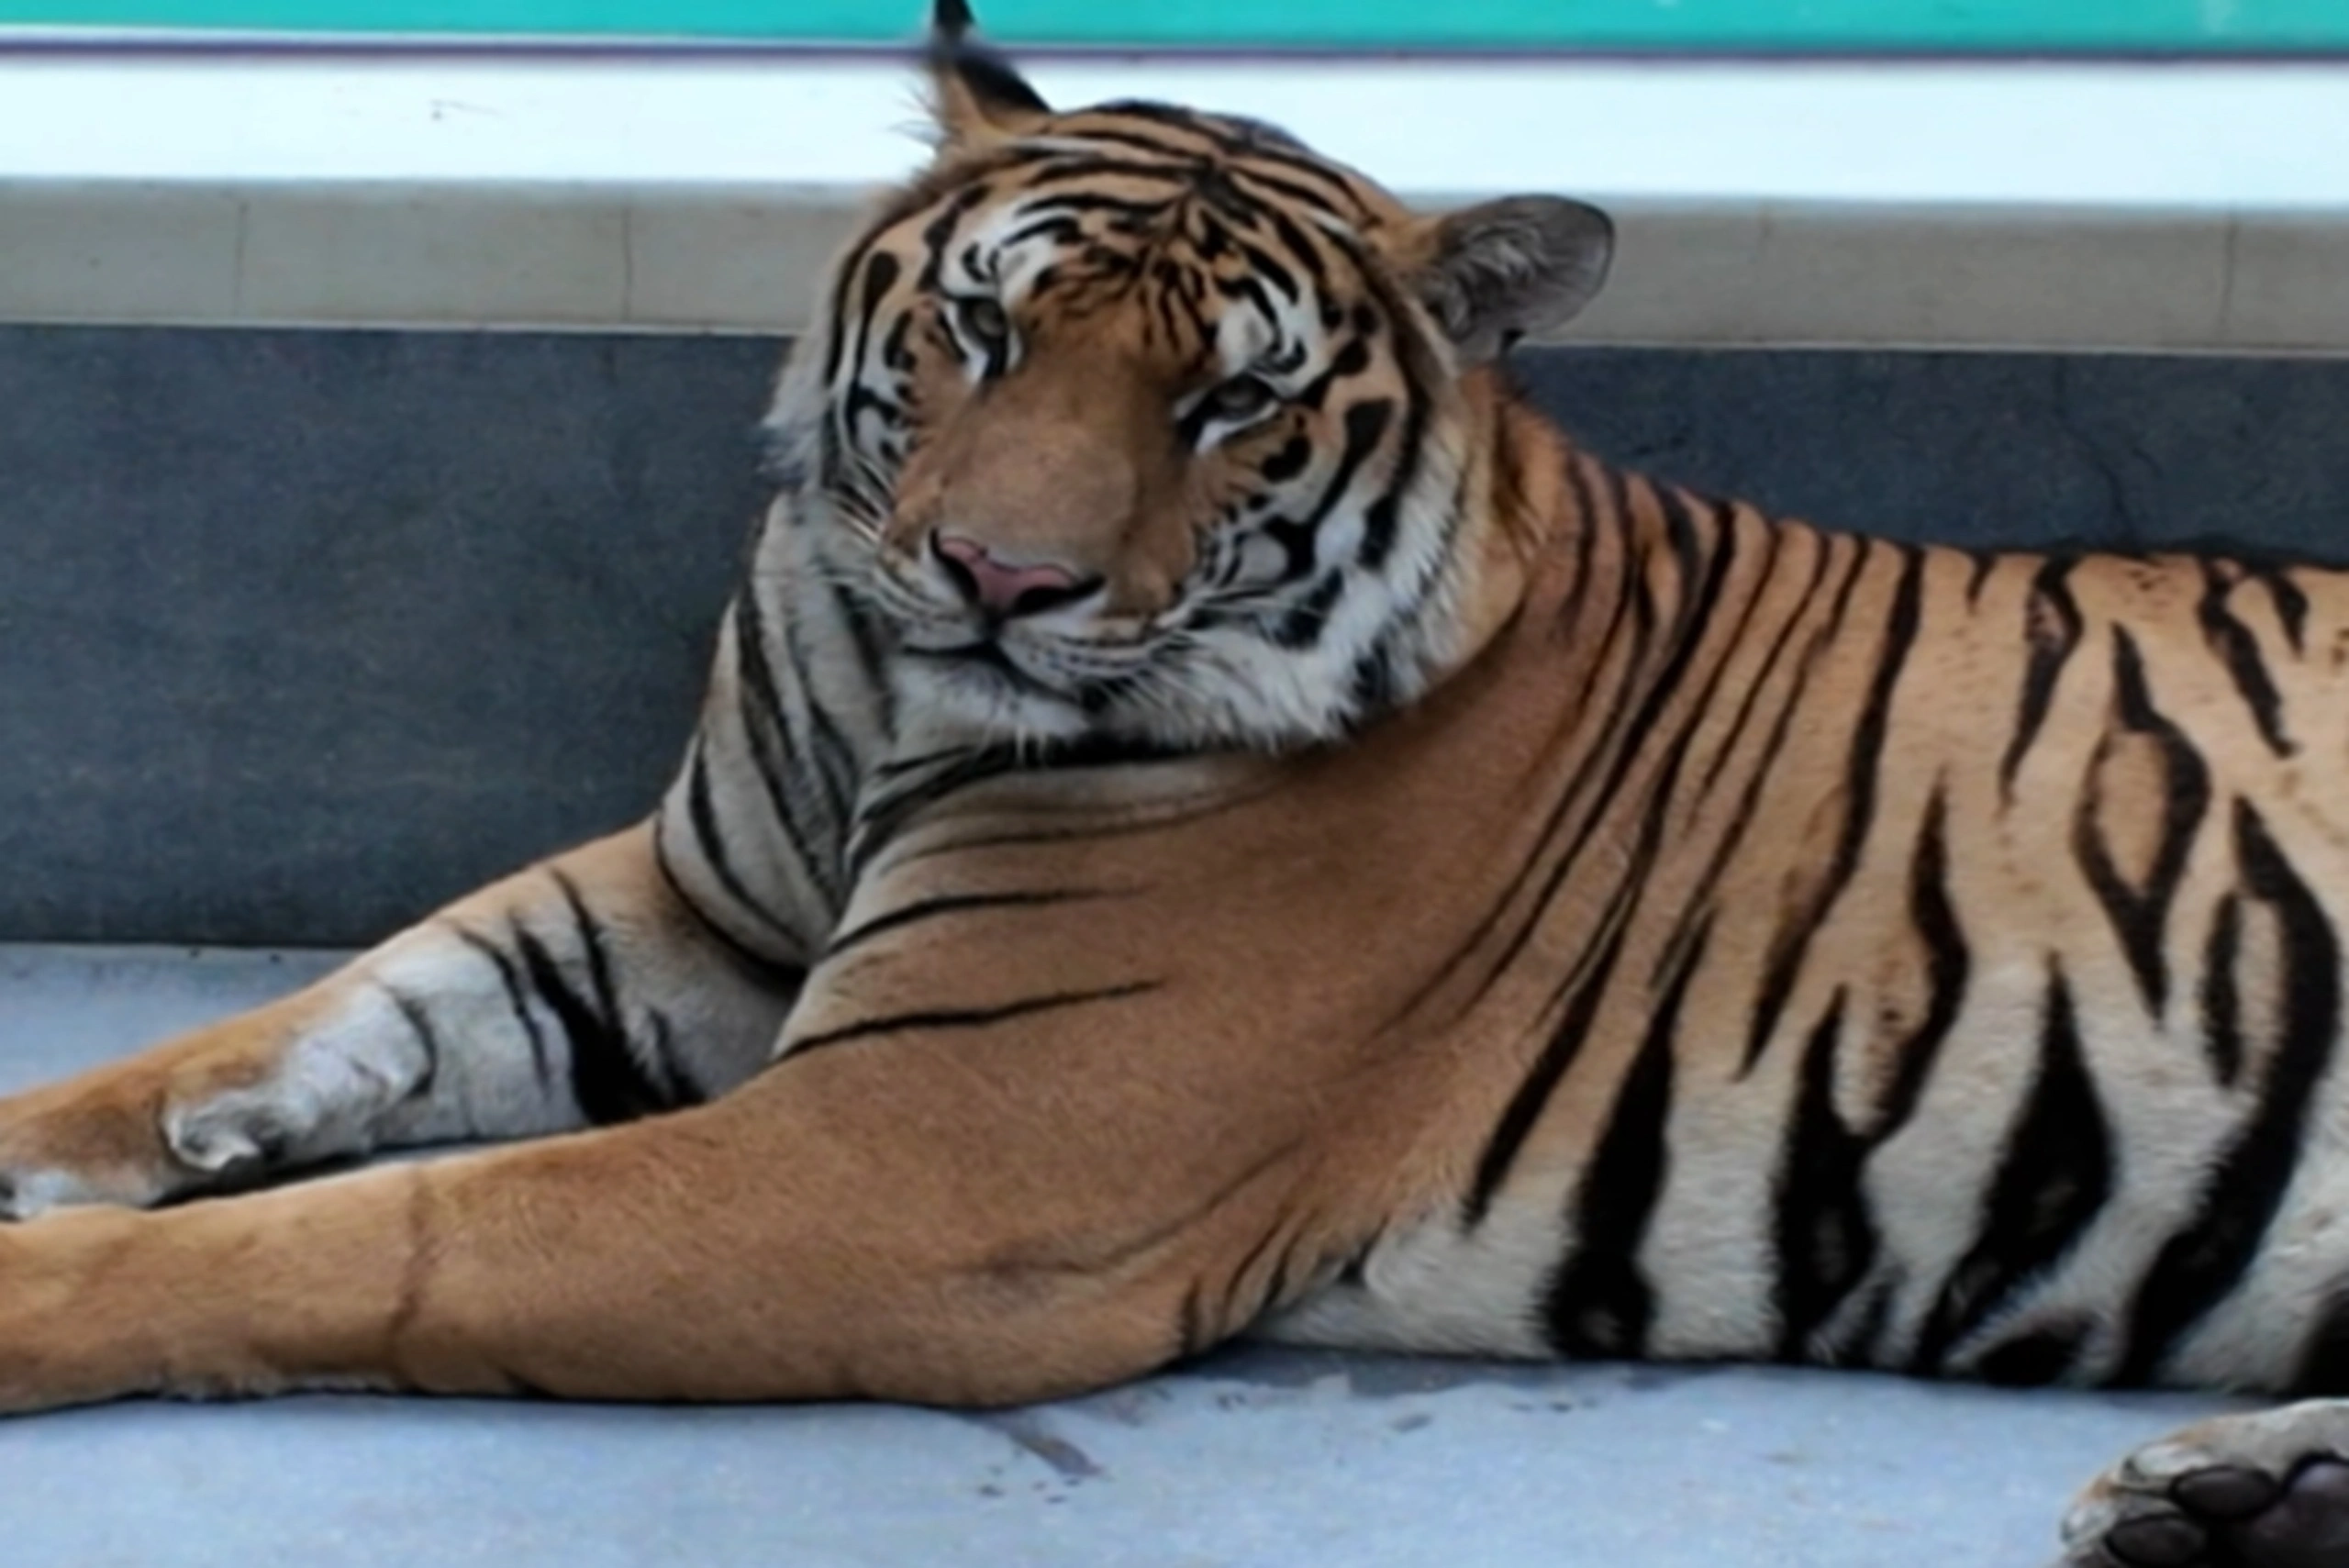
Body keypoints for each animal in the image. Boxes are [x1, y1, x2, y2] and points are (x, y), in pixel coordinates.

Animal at [1, 7, 2345, 1563]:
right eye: (980, 332)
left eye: (1229, 404)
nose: (996, 578)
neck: (890, 711)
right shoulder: (697, 911)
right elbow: (311, 1026)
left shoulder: (905, 1160)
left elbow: (371, 1233)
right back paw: (2240, 1493)